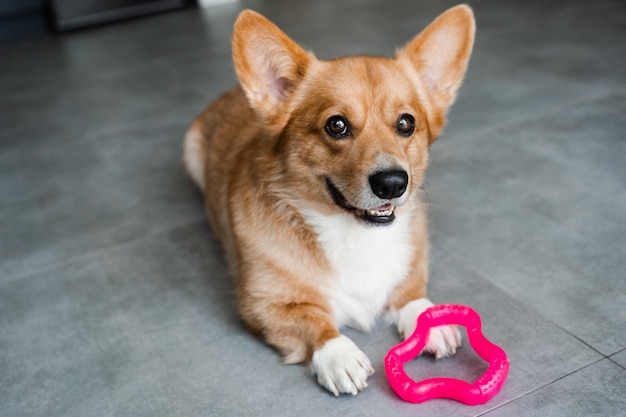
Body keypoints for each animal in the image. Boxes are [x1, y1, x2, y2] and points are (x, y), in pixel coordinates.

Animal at [183, 5, 476, 396]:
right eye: (336, 125)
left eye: (406, 123)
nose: (392, 183)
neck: (353, 233)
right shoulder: (263, 305)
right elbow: (313, 319)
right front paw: (339, 355)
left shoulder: (411, 265)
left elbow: (410, 290)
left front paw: (429, 319)